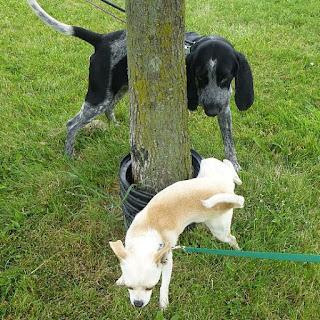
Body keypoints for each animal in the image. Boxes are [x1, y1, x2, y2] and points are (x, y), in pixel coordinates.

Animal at [26, 0, 254, 170]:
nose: (211, 111)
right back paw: (69, 155)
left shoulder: (225, 109)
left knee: (108, 108)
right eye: (199, 77)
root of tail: (101, 39)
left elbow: (229, 143)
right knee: (72, 124)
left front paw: (234, 166)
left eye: (225, 77)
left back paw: (114, 126)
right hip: (99, 96)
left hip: (120, 89)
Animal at [109, 158, 242, 310]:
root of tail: (227, 190)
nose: (138, 304)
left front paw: (163, 303)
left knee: (232, 237)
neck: (146, 235)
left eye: (150, 288)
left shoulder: (167, 260)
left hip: (219, 230)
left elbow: (164, 285)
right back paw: (234, 172)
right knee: (227, 165)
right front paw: (121, 278)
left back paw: (238, 250)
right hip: (207, 166)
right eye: (129, 287)